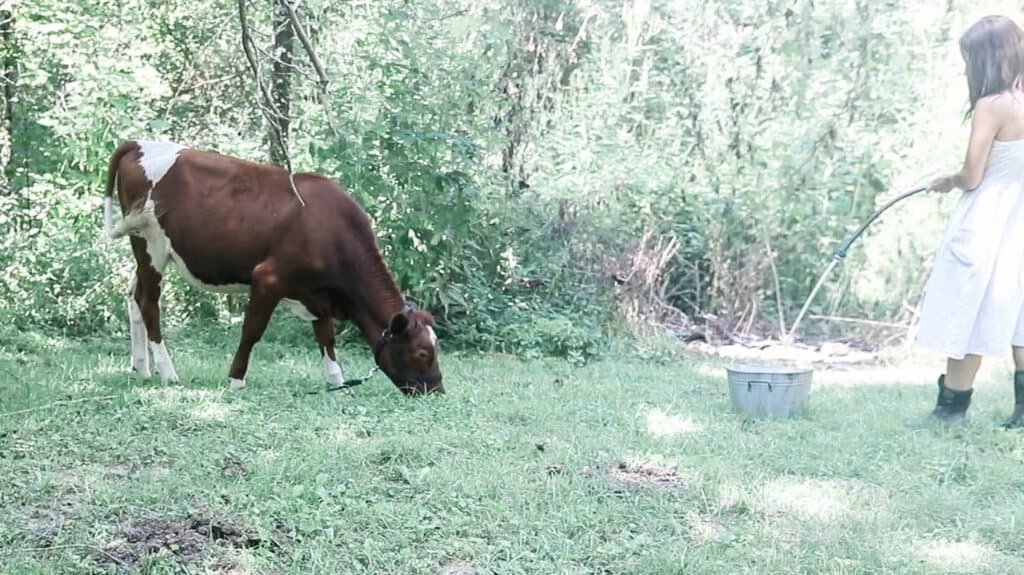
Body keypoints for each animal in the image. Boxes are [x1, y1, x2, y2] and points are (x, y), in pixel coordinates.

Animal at [101, 139, 442, 390]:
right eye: (422, 352)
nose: (436, 390)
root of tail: (140, 144)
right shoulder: (268, 278)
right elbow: (252, 331)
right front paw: (236, 379)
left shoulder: (316, 292)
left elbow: (326, 334)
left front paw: (336, 379)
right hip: (151, 246)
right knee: (149, 303)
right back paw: (167, 372)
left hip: (145, 251)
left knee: (133, 298)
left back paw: (142, 368)